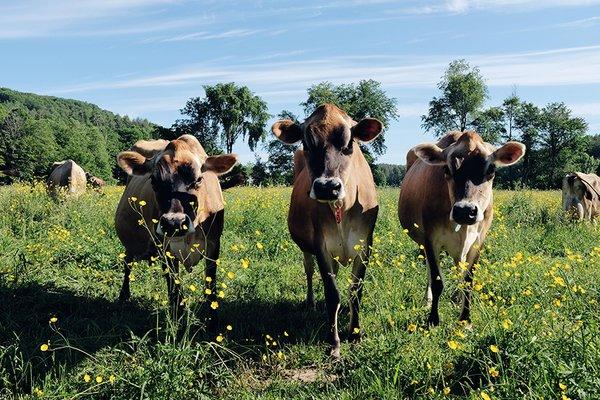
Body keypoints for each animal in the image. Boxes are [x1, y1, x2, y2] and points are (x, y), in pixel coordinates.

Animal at [116, 134, 238, 318]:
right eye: (153, 180)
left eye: (199, 179)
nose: (174, 223)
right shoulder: (166, 248)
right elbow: (175, 288)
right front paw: (178, 318)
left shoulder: (214, 244)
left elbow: (210, 286)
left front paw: (212, 319)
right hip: (131, 244)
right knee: (128, 265)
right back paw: (124, 296)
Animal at [270, 104, 380, 360]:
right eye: (307, 144)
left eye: (349, 144)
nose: (327, 187)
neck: (342, 207)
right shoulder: (321, 246)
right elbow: (333, 293)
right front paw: (334, 342)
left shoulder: (365, 245)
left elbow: (355, 292)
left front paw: (355, 334)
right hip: (307, 249)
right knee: (309, 272)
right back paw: (311, 302)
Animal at [398, 133, 524, 326]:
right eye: (446, 169)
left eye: (491, 169)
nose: (465, 210)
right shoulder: (430, 240)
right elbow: (437, 281)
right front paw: (433, 319)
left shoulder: (478, 242)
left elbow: (468, 281)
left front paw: (465, 319)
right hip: (422, 243)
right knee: (429, 271)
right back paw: (427, 300)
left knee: (459, 266)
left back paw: (457, 298)